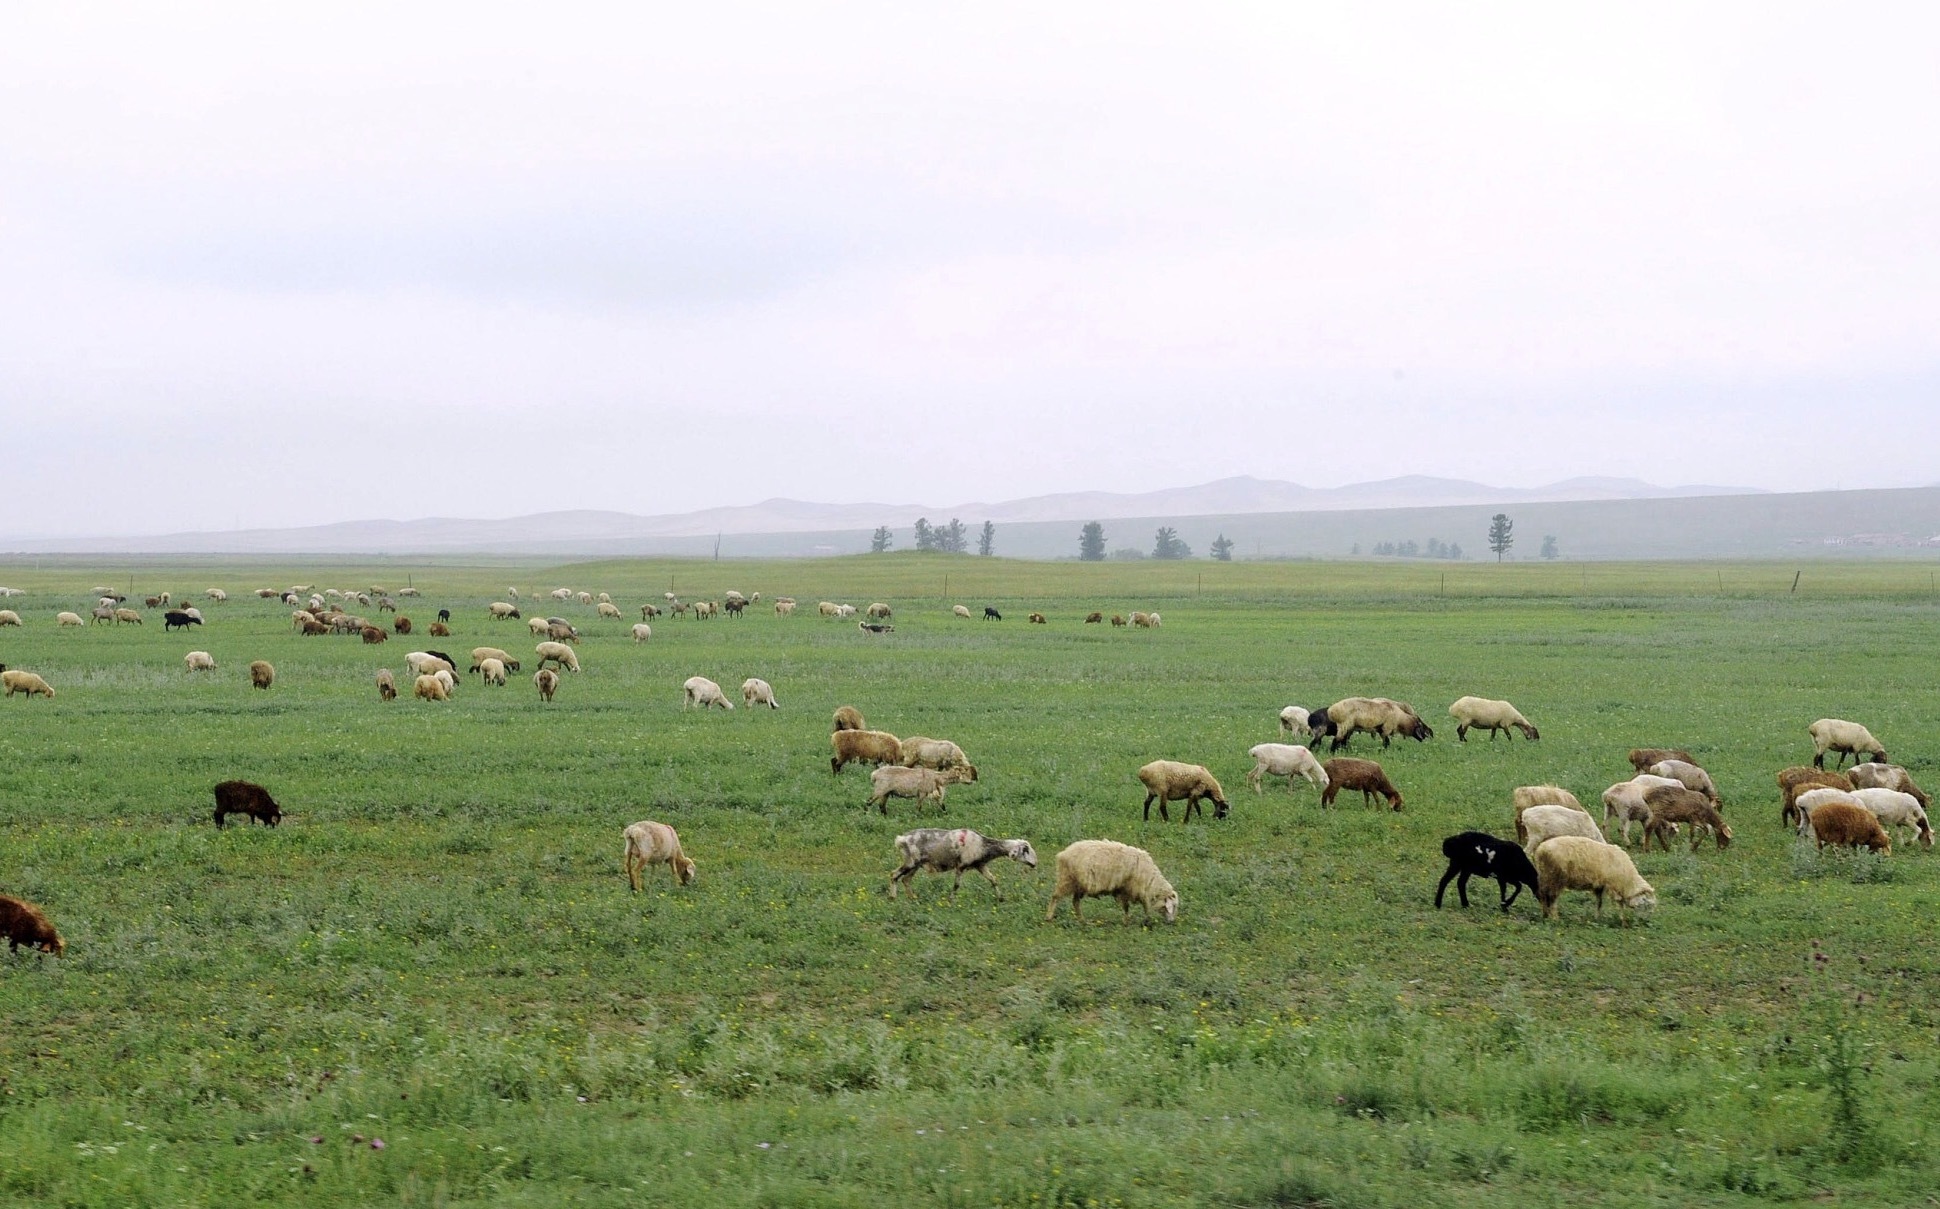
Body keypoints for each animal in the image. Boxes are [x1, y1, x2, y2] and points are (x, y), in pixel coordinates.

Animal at [888, 826, 1039, 904]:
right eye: (1026, 850)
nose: (1034, 863)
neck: (983, 845)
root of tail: (901, 839)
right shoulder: (960, 866)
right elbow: (956, 885)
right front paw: (951, 900)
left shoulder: (980, 865)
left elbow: (993, 880)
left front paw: (1001, 898)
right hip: (911, 861)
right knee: (894, 874)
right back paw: (893, 897)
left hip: (916, 864)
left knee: (905, 880)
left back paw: (912, 898)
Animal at [1047, 842, 1179, 927]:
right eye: (1173, 906)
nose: (1172, 922)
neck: (1152, 880)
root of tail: (1063, 853)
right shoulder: (1133, 889)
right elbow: (1142, 907)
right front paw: (1146, 921)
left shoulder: (1125, 889)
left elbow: (1127, 907)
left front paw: (1127, 921)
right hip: (1067, 879)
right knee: (1055, 897)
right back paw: (1048, 917)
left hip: (1079, 885)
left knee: (1075, 902)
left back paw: (1083, 921)